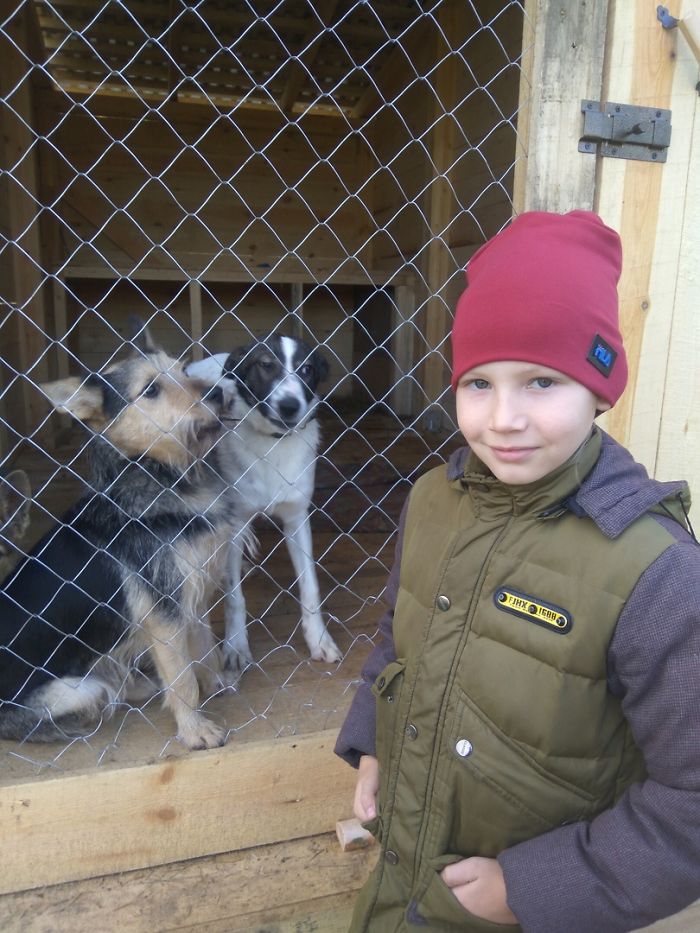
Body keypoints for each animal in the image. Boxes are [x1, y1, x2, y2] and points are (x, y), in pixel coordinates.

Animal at [185, 334, 340, 676]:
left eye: (307, 369)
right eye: (266, 365)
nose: (289, 405)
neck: (273, 443)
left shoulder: (297, 519)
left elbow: (310, 588)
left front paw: (319, 640)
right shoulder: (235, 521)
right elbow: (234, 598)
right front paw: (235, 646)